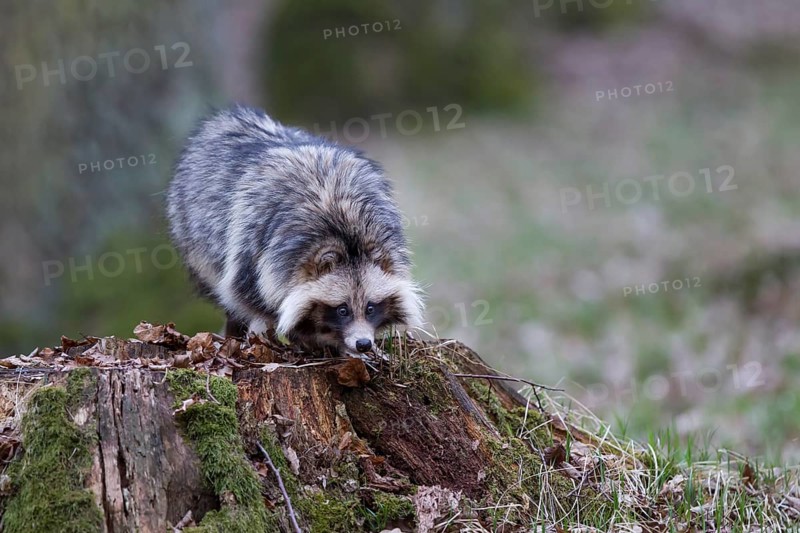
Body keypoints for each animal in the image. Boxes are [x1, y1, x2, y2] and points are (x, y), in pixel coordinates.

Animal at [167, 105, 424, 355]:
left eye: (370, 307)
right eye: (342, 310)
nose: (363, 343)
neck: (345, 232)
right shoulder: (254, 246)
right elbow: (245, 295)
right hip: (194, 233)